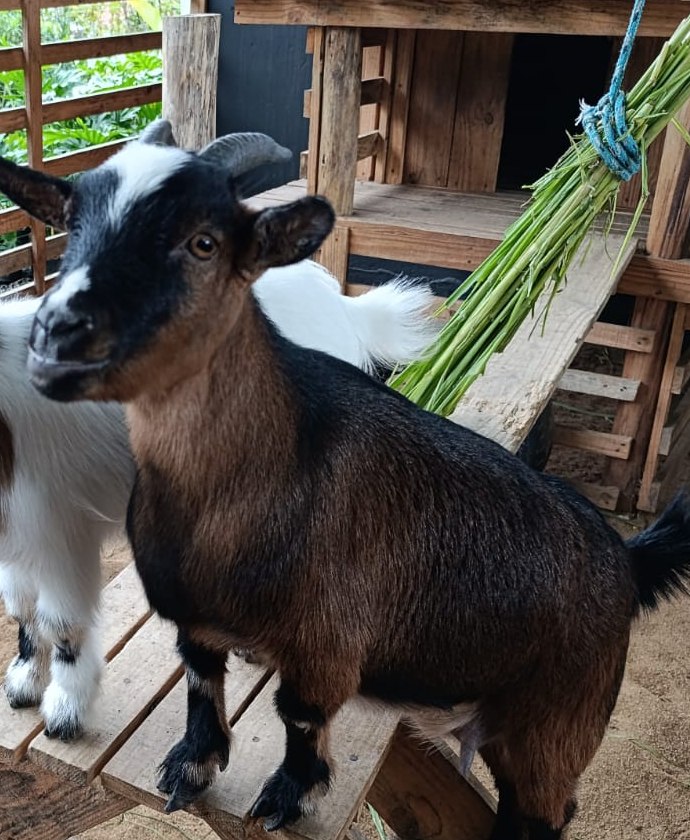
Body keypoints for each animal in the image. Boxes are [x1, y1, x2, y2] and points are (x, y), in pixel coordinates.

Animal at [0, 264, 437, 741]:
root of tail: (339, 301)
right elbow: (20, 607)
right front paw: (24, 681)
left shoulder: (57, 528)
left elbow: (63, 624)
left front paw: (66, 712)